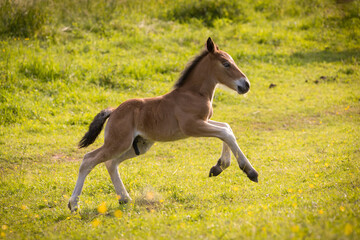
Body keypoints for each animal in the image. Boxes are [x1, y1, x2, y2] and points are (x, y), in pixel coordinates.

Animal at [68, 37, 258, 212]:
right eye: (226, 64)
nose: (246, 84)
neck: (193, 93)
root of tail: (114, 111)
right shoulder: (192, 126)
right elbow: (226, 133)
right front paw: (249, 171)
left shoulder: (203, 121)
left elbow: (226, 127)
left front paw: (219, 166)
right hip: (118, 142)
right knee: (88, 160)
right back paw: (74, 204)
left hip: (139, 146)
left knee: (111, 163)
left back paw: (124, 199)